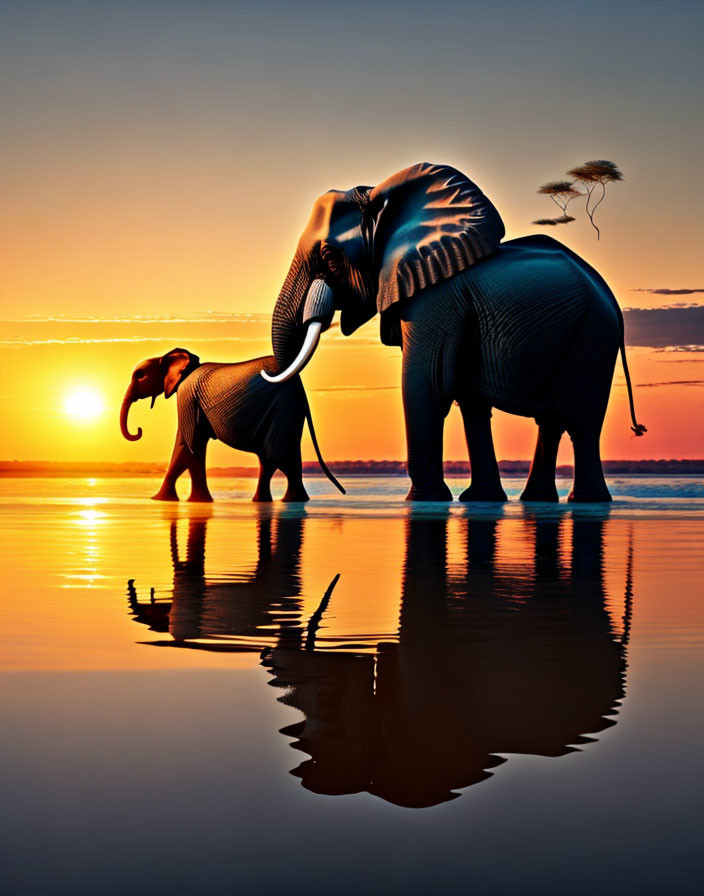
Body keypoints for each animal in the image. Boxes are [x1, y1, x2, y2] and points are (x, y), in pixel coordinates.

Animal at [121, 348, 346, 504]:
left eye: (140, 375)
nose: (139, 430)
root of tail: (300, 388)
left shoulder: (187, 397)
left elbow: (187, 444)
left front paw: (158, 500)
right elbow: (195, 449)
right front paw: (199, 502)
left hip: (283, 409)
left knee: (277, 457)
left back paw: (287, 501)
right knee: (275, 459)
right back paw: (276, 501)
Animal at [262, 162, 644, 504]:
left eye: (329, 256)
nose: (341, 491)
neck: (380, 199)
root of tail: (609, 296)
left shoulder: (437, 295)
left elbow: (427, 382)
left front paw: (423, 501)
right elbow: (468, 397)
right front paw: (478, 501)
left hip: (593, 338)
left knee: (582, 423)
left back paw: (588, 502)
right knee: (549, 422)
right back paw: (536, 501)